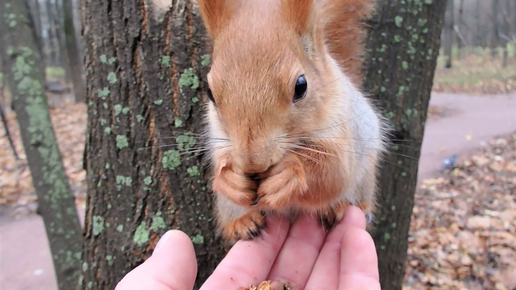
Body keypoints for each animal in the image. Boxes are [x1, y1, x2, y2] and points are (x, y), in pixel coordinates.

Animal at [200, 0, 384, 245]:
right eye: (209, 92)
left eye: (301, 86)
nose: (253, 164)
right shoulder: (220, 138)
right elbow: (222, 163)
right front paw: (230, 179)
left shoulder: (342, 126)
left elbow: (335, 171)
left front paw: (292, 174)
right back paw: (242, 222)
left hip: (364, 177)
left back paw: (341, 208)